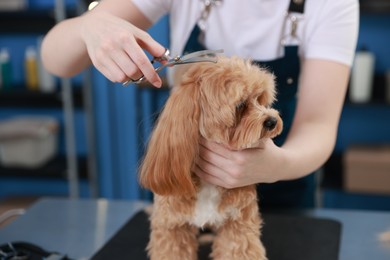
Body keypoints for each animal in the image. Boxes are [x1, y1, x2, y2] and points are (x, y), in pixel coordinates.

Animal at [139, 55, 282, 258]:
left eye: (259, 98)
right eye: (240, 105)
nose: (272, 121)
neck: (208, 184)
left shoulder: (237, 225)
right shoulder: (172, 228)